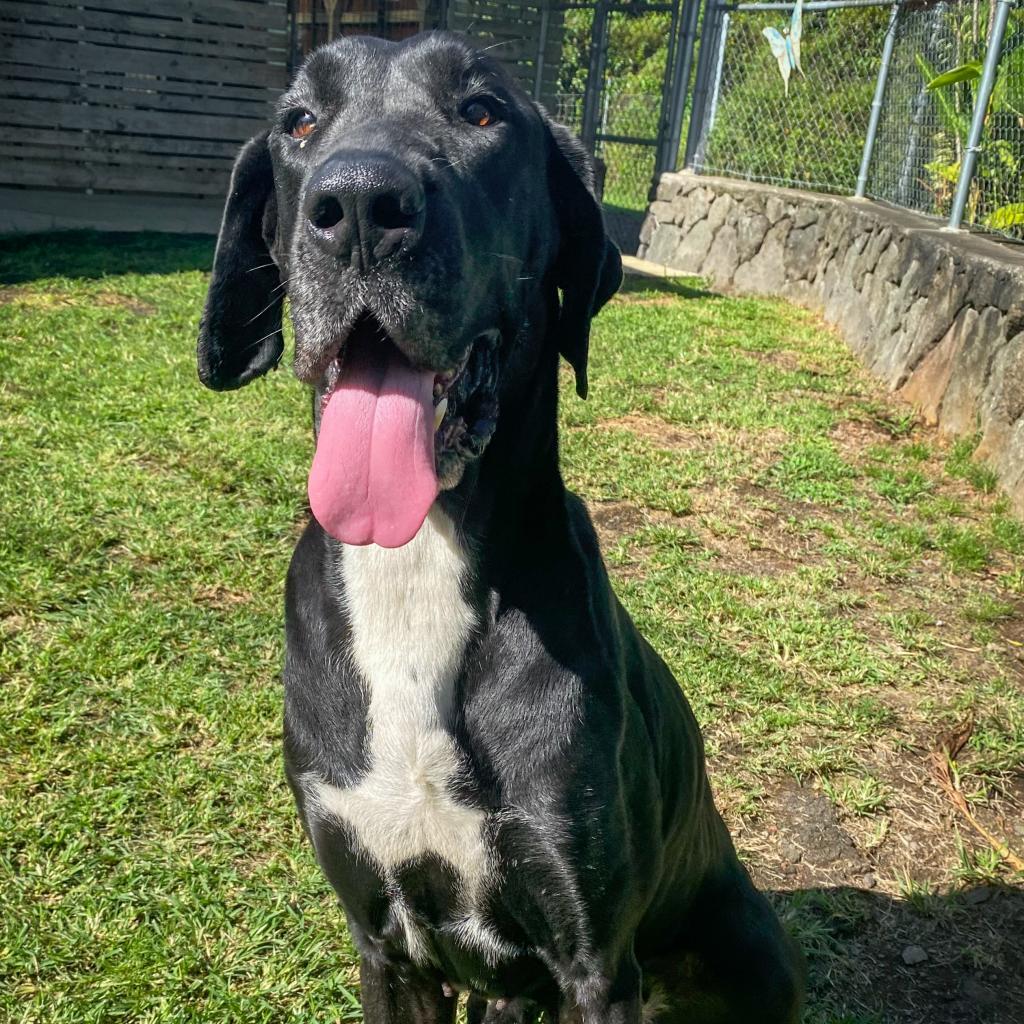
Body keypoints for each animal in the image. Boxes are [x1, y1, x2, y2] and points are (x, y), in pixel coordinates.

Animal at [195, 32, 802, 1024]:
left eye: (482, 112)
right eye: (301, 121)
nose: (356, 205)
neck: (414, 566)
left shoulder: (594, 963)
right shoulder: (387, 943)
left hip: (747, 952)